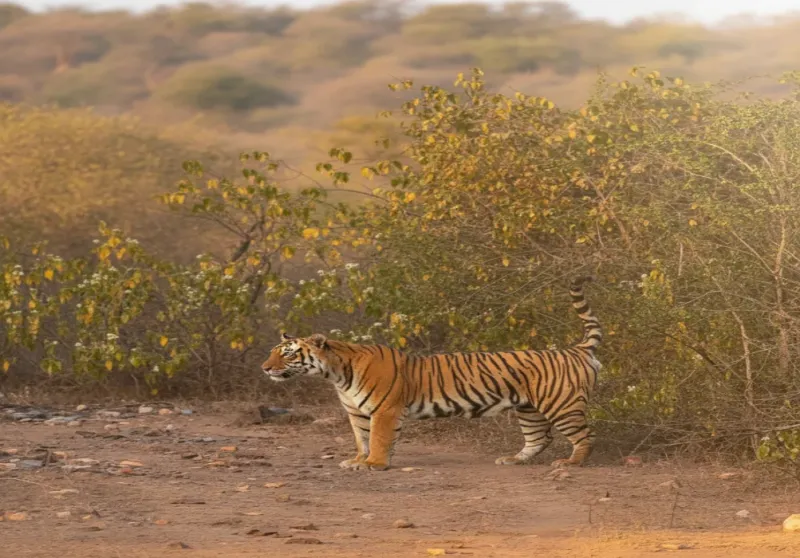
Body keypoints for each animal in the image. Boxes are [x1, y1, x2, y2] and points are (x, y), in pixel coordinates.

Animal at [261, 276, 602, 471]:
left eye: (287, 353)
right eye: (273, 351)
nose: (264, 368)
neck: (336, 374)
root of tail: (575, 348)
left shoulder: (385, 410)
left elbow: (379, 438)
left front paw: (374, 464)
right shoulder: (356, 412)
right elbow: (362, 438)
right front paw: (358, 460)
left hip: (561, 404)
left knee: (584, 436)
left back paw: (571, 463)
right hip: (529, 408)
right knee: (539, 438)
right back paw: (514, 460)